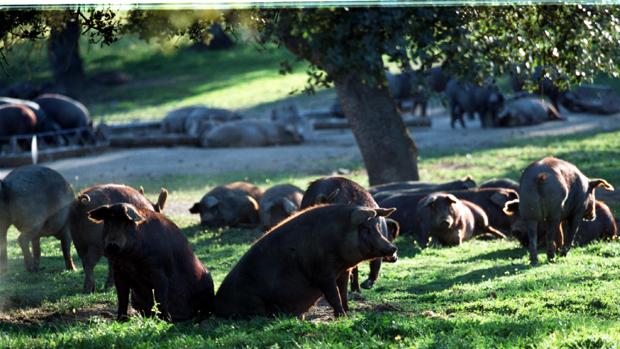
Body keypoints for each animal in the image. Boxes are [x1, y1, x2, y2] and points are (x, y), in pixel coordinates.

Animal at [213, 204, 398, 318]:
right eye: (365, 228)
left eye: (377, 227)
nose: (393, 248)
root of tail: (217, 305)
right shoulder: (323, 273)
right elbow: (334, 296)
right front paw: (342, 316)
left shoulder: (343, 271)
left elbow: (344, 294)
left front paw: (348, 313)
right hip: (253, 301)